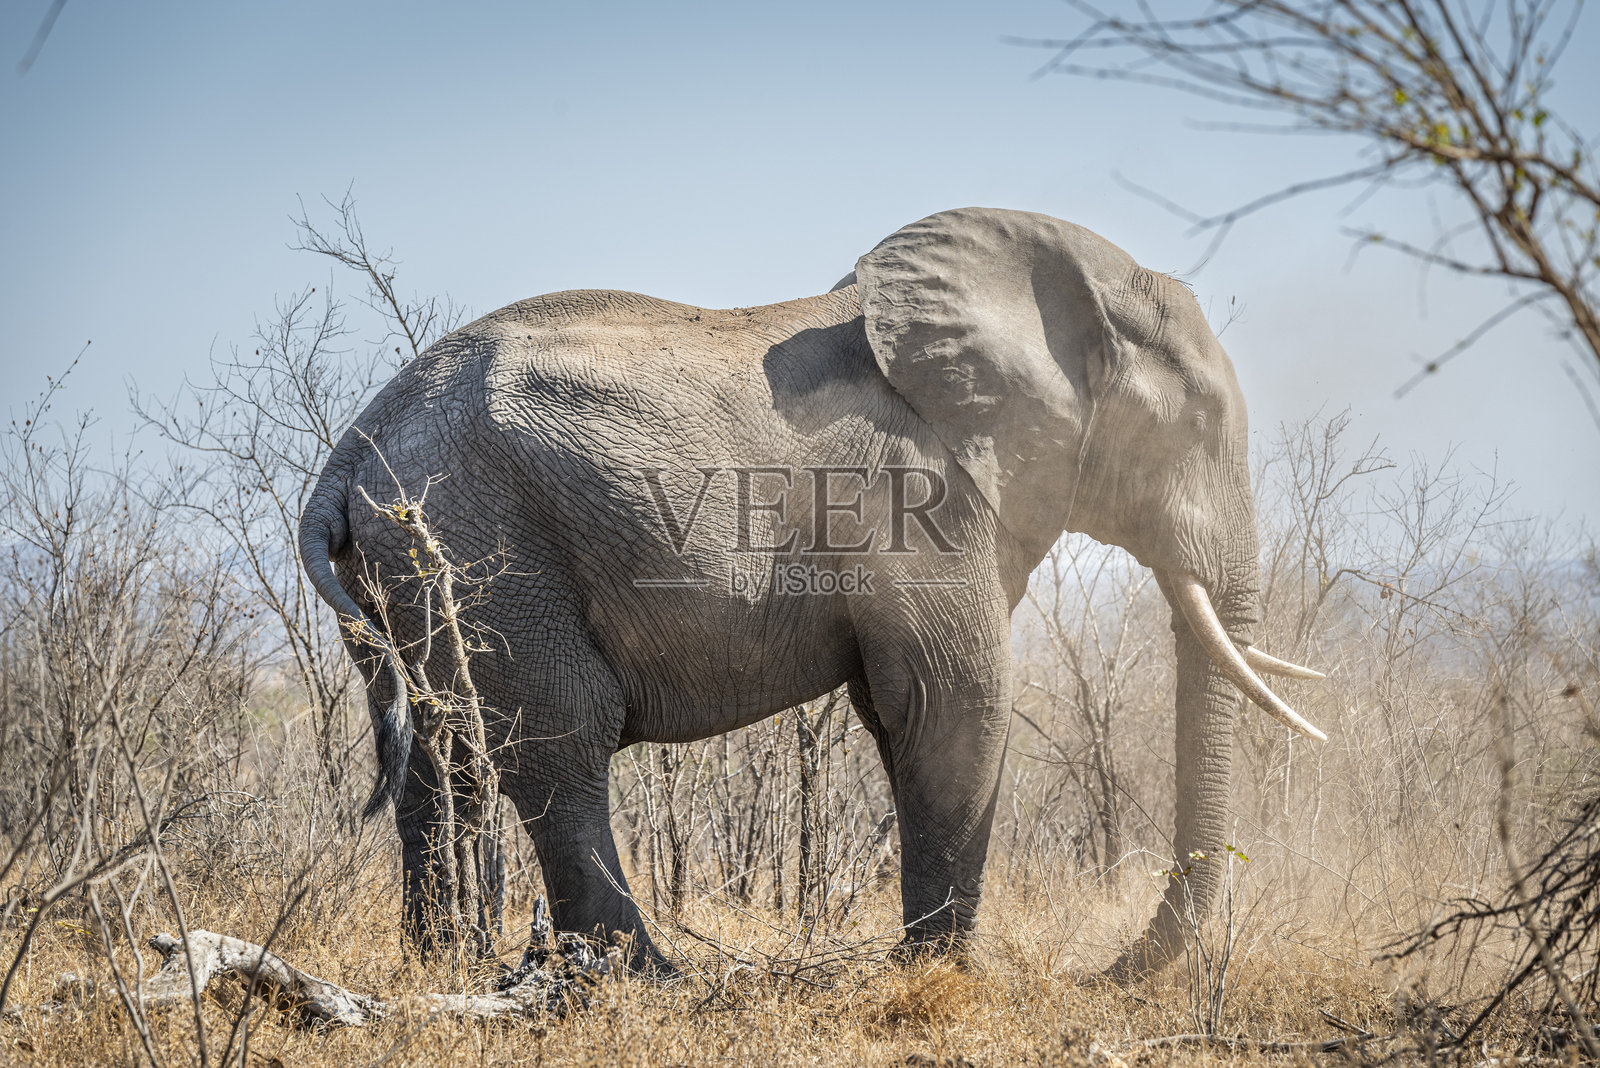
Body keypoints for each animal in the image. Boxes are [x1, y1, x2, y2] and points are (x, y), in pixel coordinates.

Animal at [299, 207, 1326, 975]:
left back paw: (445, 965)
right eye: (1196, 424)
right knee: (561, 734)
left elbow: (904, 707)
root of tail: (349, 449)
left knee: (441, 749)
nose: (1102, 973)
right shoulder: (922, 497)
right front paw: (942, 974)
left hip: (402, 566)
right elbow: (955, 703)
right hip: (488, 538)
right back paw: (651, 977)